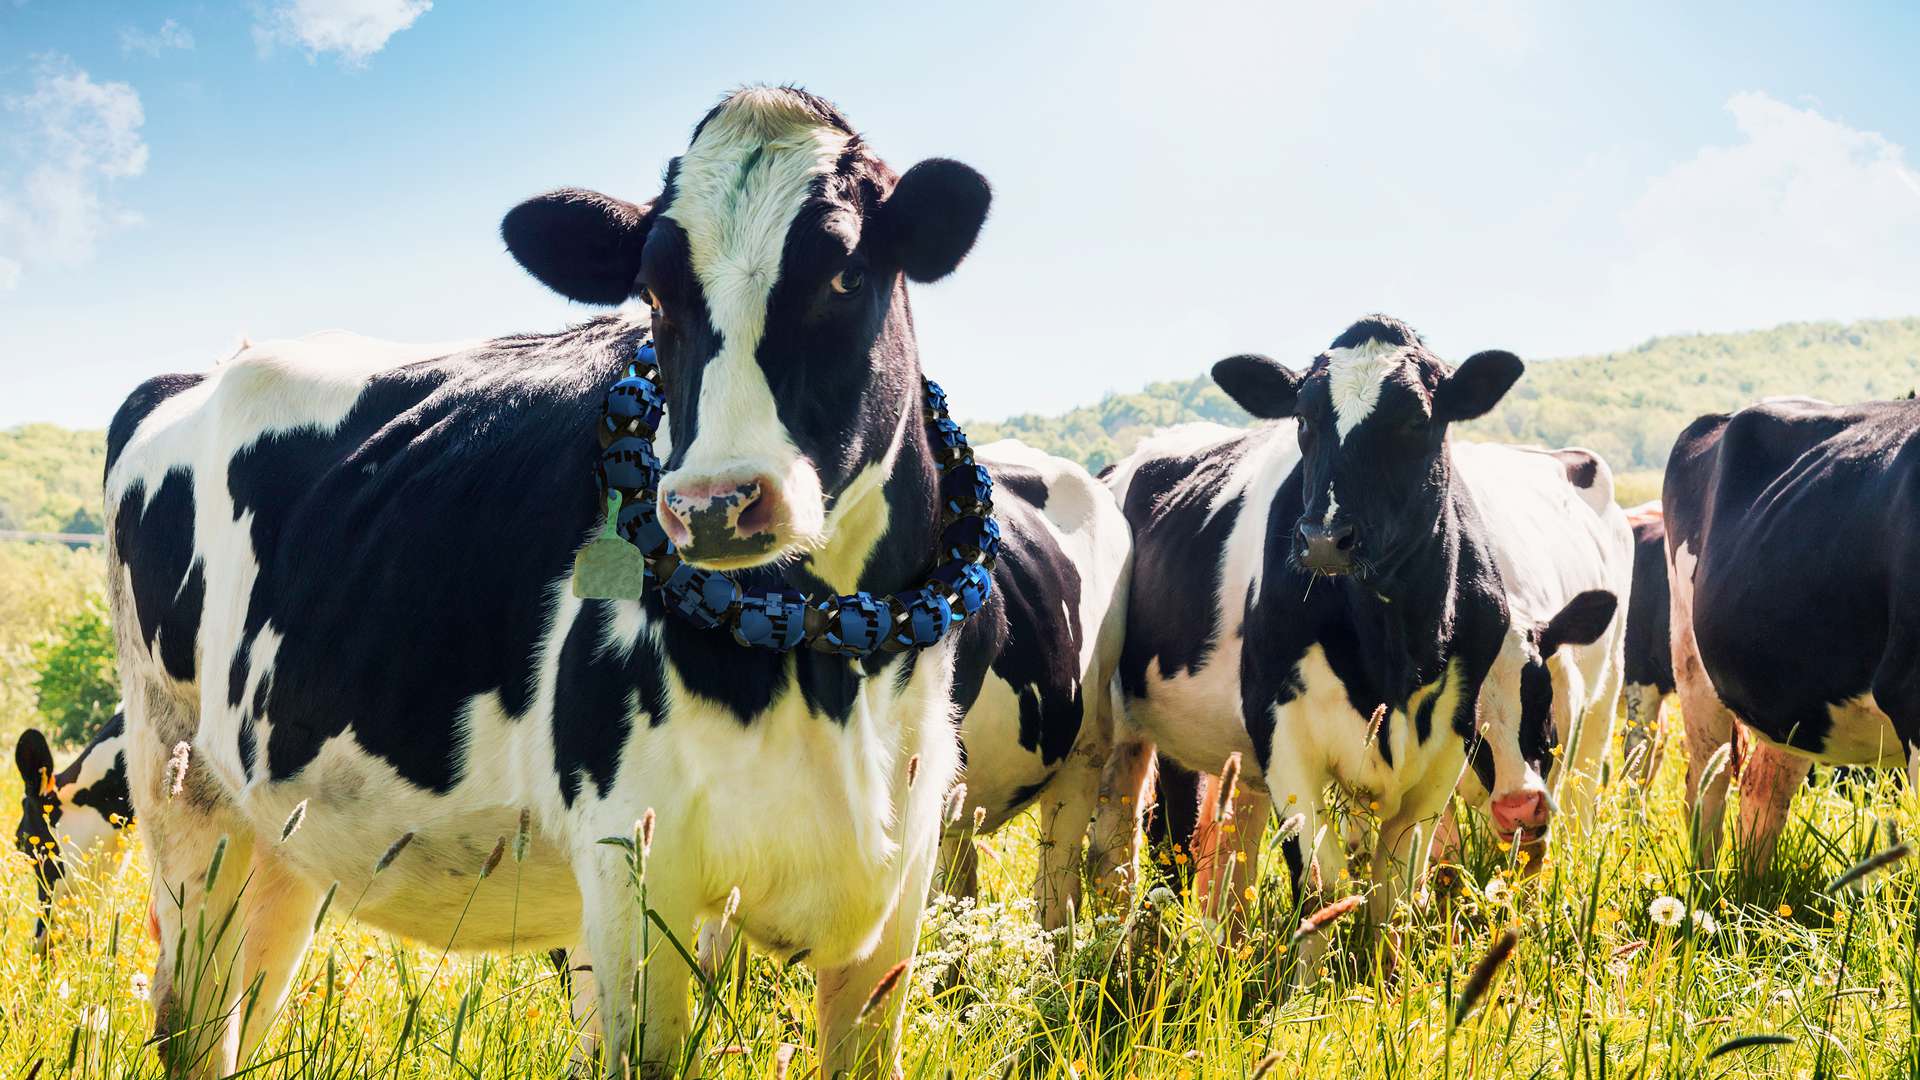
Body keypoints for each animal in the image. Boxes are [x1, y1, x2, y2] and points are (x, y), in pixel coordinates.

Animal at [106, 86, 1131, 1079]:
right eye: (654, 292)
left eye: (846, 273)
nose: (716, 503)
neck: (826, 666)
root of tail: (200, 370)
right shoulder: (638, 868)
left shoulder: (900, 878)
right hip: (181, 790)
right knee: (187, 1023)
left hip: (282, 834)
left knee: (237, 1021)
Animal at [1107, 315, 1628, 976]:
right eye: (1304, 420)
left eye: (1417, 421)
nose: (1324, 538)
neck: (1393, 654)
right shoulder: (1283, 733)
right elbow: (1324, 888)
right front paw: (1309, 993)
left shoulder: (1442, 748)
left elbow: (1398, 891)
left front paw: (1390, 981)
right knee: (1149, 841)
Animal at [1665, 395, 1920, 870]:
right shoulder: (1909, 692)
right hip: (1692, 668)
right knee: (1706, 789)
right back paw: (1703, 887)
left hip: (1784, 693)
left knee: (1763, 789)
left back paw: (1754, 884)